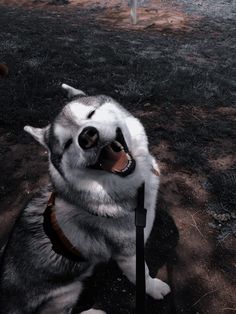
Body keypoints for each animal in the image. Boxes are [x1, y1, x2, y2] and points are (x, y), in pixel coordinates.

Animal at [0, 84, 170, 314]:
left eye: (90, 114)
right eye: (67, 143)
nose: (88, 136)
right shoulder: (129, 254)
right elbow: (142, 274)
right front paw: (154, 287)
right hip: (68, 291)